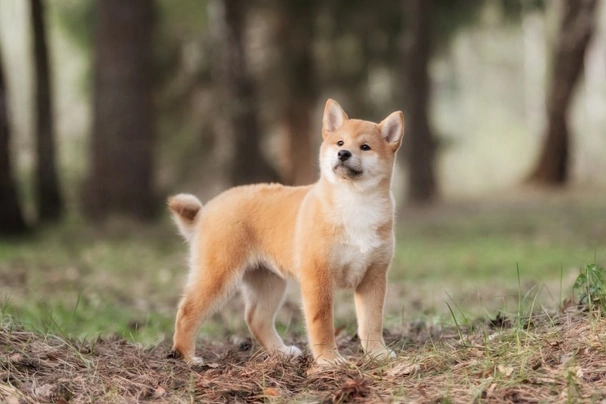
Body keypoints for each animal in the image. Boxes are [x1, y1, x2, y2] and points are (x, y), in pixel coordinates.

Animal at [169, 98, 404, 366]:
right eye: (340, 143)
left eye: (365, 147)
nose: (343, 154)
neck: (355, 203)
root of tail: (204, 212)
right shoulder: (318, 277)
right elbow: (322, 323)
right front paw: (329, 360)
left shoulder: (373, 277)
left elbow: (371, 322)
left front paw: (377, 354)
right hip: (218, 276)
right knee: (187, 312)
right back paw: (187, 356)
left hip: (269, 282)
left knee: (256, 318)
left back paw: (280, 352)